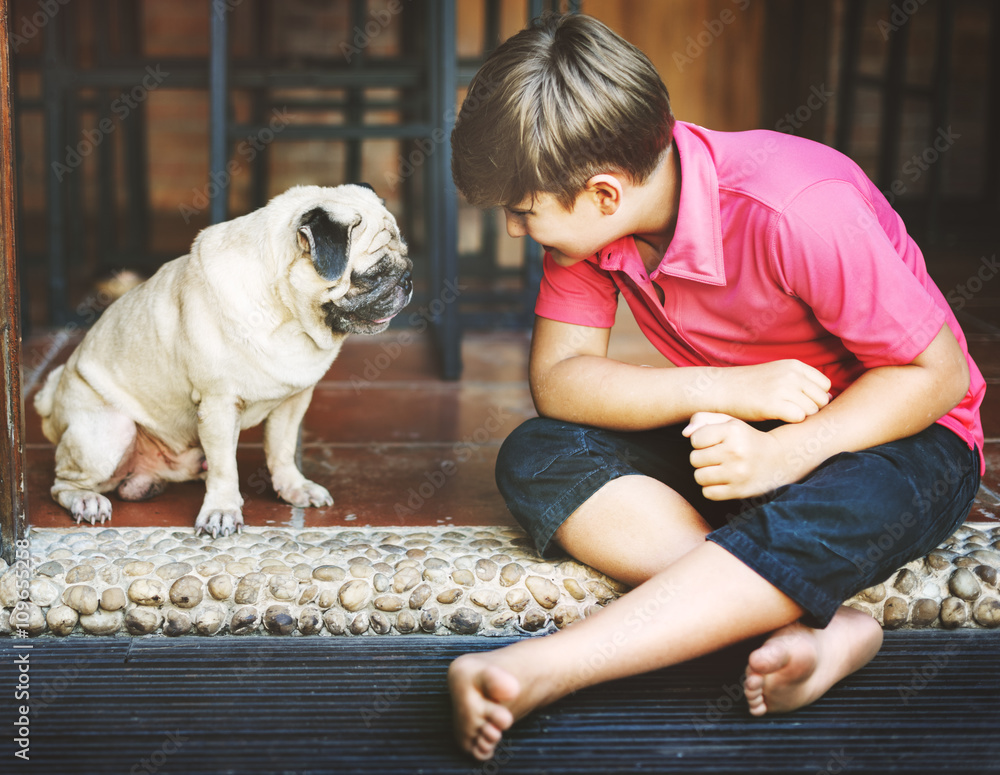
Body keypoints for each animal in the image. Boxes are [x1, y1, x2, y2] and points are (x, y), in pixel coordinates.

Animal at [35, 184, 410, 536]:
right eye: (372, 275)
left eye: (407, 260)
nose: (407, 281)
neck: (286, 315)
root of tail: (51, 399)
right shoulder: (218, 404)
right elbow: (225, 469)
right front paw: (222, 511)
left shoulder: (293, 401)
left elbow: (282, 450)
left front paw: (293, 488)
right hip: (108, 433)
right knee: (62, 483)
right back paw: (87, 500)